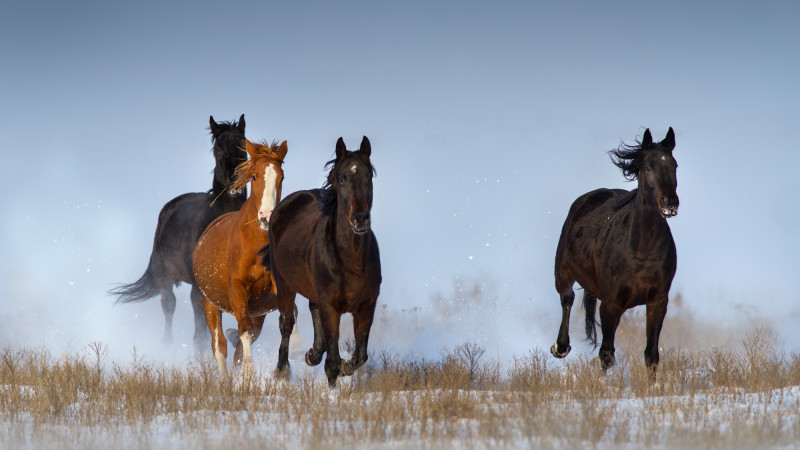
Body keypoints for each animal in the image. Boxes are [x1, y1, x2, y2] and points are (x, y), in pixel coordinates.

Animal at [109, 114, 247, 350]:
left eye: (243, 146)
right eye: (218, 149)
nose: (235, 179)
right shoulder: (199, 291)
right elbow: (201, 334)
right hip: (165, 276)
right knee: (169, 306)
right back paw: (167, 345)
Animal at [193, 139, 288, 374]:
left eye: (281, 177)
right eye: (254, 176)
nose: (266, 217)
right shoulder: (237, 289)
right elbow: (243, 330)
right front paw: (249, 373)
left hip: (259, 312)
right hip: (210, 304)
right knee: (219, 346)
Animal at [262, 136, 382, 386]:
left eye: (369, 175)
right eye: (341, 178)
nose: (360, 219)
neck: (350, 260)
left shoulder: (367, 305)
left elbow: (360, 356)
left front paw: (343, 365)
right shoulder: (331, 307)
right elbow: (333, 362)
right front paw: (333, 388)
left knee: (312, 308)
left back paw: (312, 354)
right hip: (284, 285)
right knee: (286, 323)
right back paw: (282, 370)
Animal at [552, 127, 680, 376]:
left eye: (674, 165)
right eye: (647, 167)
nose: (670, 202)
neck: (640, 251)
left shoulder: (658, 301)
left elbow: (651, 354)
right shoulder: (610, 304)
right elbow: (606, 354)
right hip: (562, 271)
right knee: (567, 297)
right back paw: (560, 347)